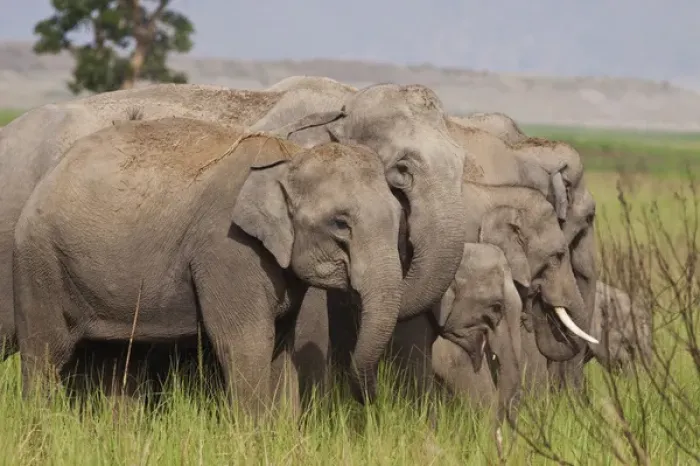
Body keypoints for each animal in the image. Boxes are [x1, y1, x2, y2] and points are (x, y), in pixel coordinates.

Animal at [12, 116, 407, 416]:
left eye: (399, 215)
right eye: (340, 223)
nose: (374, 402)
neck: (289, 157)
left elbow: (280, 348)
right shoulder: (228, 250)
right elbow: (246, 343)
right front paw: (254, 441)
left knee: (118, 359)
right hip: (40, 262)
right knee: (44, 354)